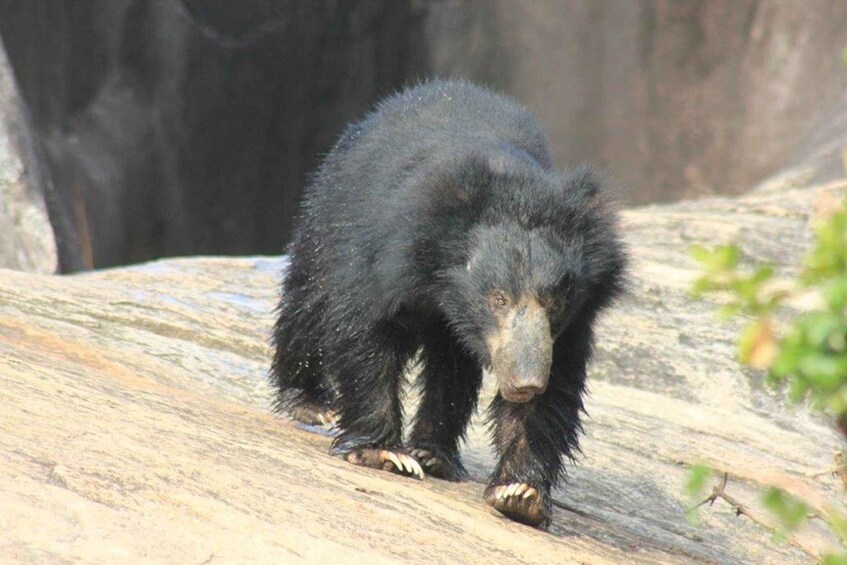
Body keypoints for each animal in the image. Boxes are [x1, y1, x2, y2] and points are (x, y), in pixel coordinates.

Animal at [270, 79, 626, 529]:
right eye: (498, 298)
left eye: (554, 301)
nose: (524, 383)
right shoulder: (387, 254)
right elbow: (366, 333)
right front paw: (384, 453)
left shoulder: (570, 326)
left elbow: (555, 387)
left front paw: (520, 493)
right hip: (329, 213)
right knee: (310, 299)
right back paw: (309, 403)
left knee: (451, 369)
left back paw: (434, 455)